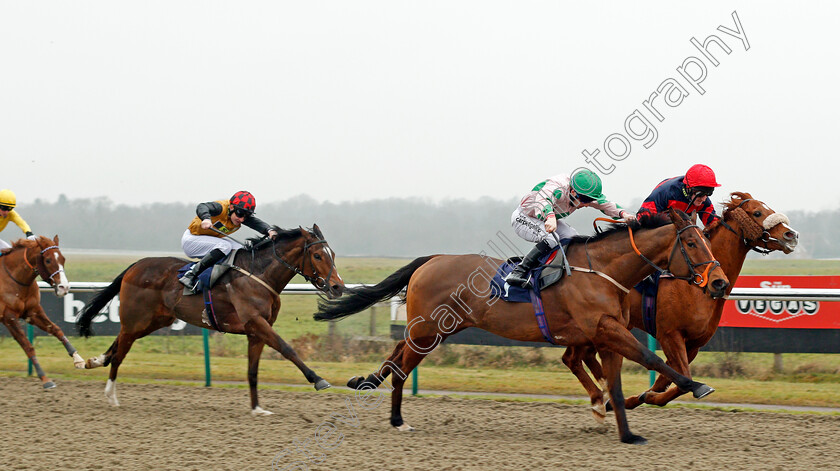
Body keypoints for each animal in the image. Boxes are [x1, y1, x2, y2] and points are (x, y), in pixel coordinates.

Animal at [0, 238, 85, 390]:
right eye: (48, 260)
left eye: (63, 258)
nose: (64, 287)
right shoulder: (9, 317)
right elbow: (27, 346)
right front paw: (45, 379)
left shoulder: (33, 311)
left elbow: (56, 329)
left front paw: (77, 358)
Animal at [74, 227, 344, 414]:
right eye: (318, 255)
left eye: (332, 254)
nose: (338, 287)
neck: (258, 275)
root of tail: (136, 264)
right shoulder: (256, 322)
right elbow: (287, 349)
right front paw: (318, 380)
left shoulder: (256, 331)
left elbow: (252, 371)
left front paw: (257, 408)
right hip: (137, 319)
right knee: (120, 353)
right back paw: (111, 395)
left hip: (154, 321)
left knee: (118, 342)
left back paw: (94, 361)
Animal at [316, 208, 728, 444]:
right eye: (693, 243)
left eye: (708, 241)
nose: (720, 283)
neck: (602, 270)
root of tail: (431, 260)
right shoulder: (607, 329)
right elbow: (652, 358)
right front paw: (696, 385)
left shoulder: (605, 334)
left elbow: (616, 378)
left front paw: (625, 430)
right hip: (427, 331)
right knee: (402, 365)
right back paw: (396, 417)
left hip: (434, 331)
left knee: (397, 357)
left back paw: (373, 389)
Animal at [560, 191, 796, 416]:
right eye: (757, 212)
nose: (791, 235)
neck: (697, 287)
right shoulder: (670, 334)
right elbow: (681, 378)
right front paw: (641, 397)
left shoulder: (694, 344)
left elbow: (668, 380)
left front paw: (641, 397)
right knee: (571, 358)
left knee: (577, 357)